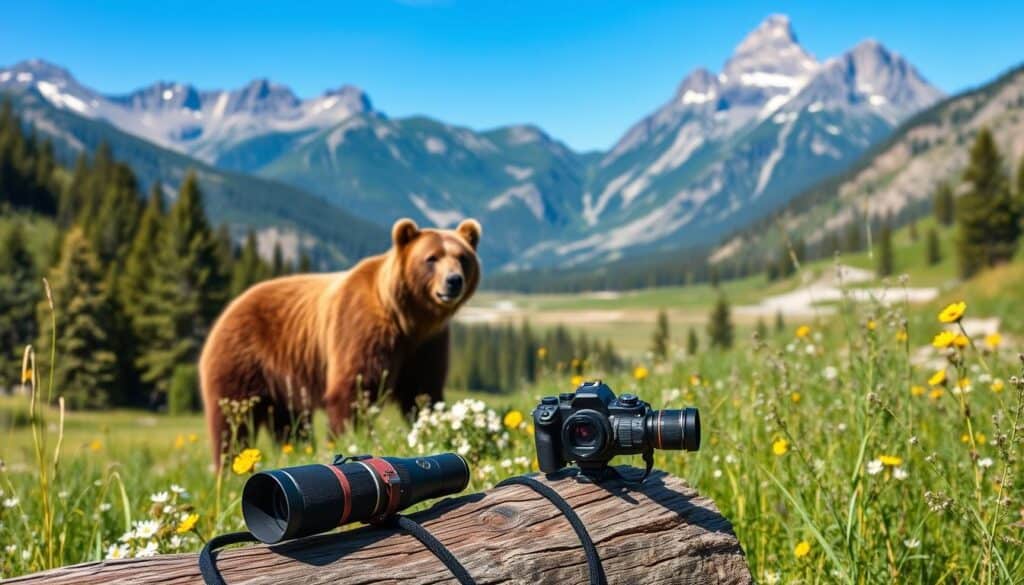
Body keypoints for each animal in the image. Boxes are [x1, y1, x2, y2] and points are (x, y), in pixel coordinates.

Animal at [202, 217, 483, 465]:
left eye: (462, 257)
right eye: (431, 258)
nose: (453, 281)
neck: (408, 318)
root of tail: (229, 308)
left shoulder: (427, 344)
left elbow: (422, 390)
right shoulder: (360, 328)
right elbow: (352, 390)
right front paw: (345, 439)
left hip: (282, 381)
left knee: (289, 423)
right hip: (242, 358)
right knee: (231, 420)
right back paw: (228, 464)